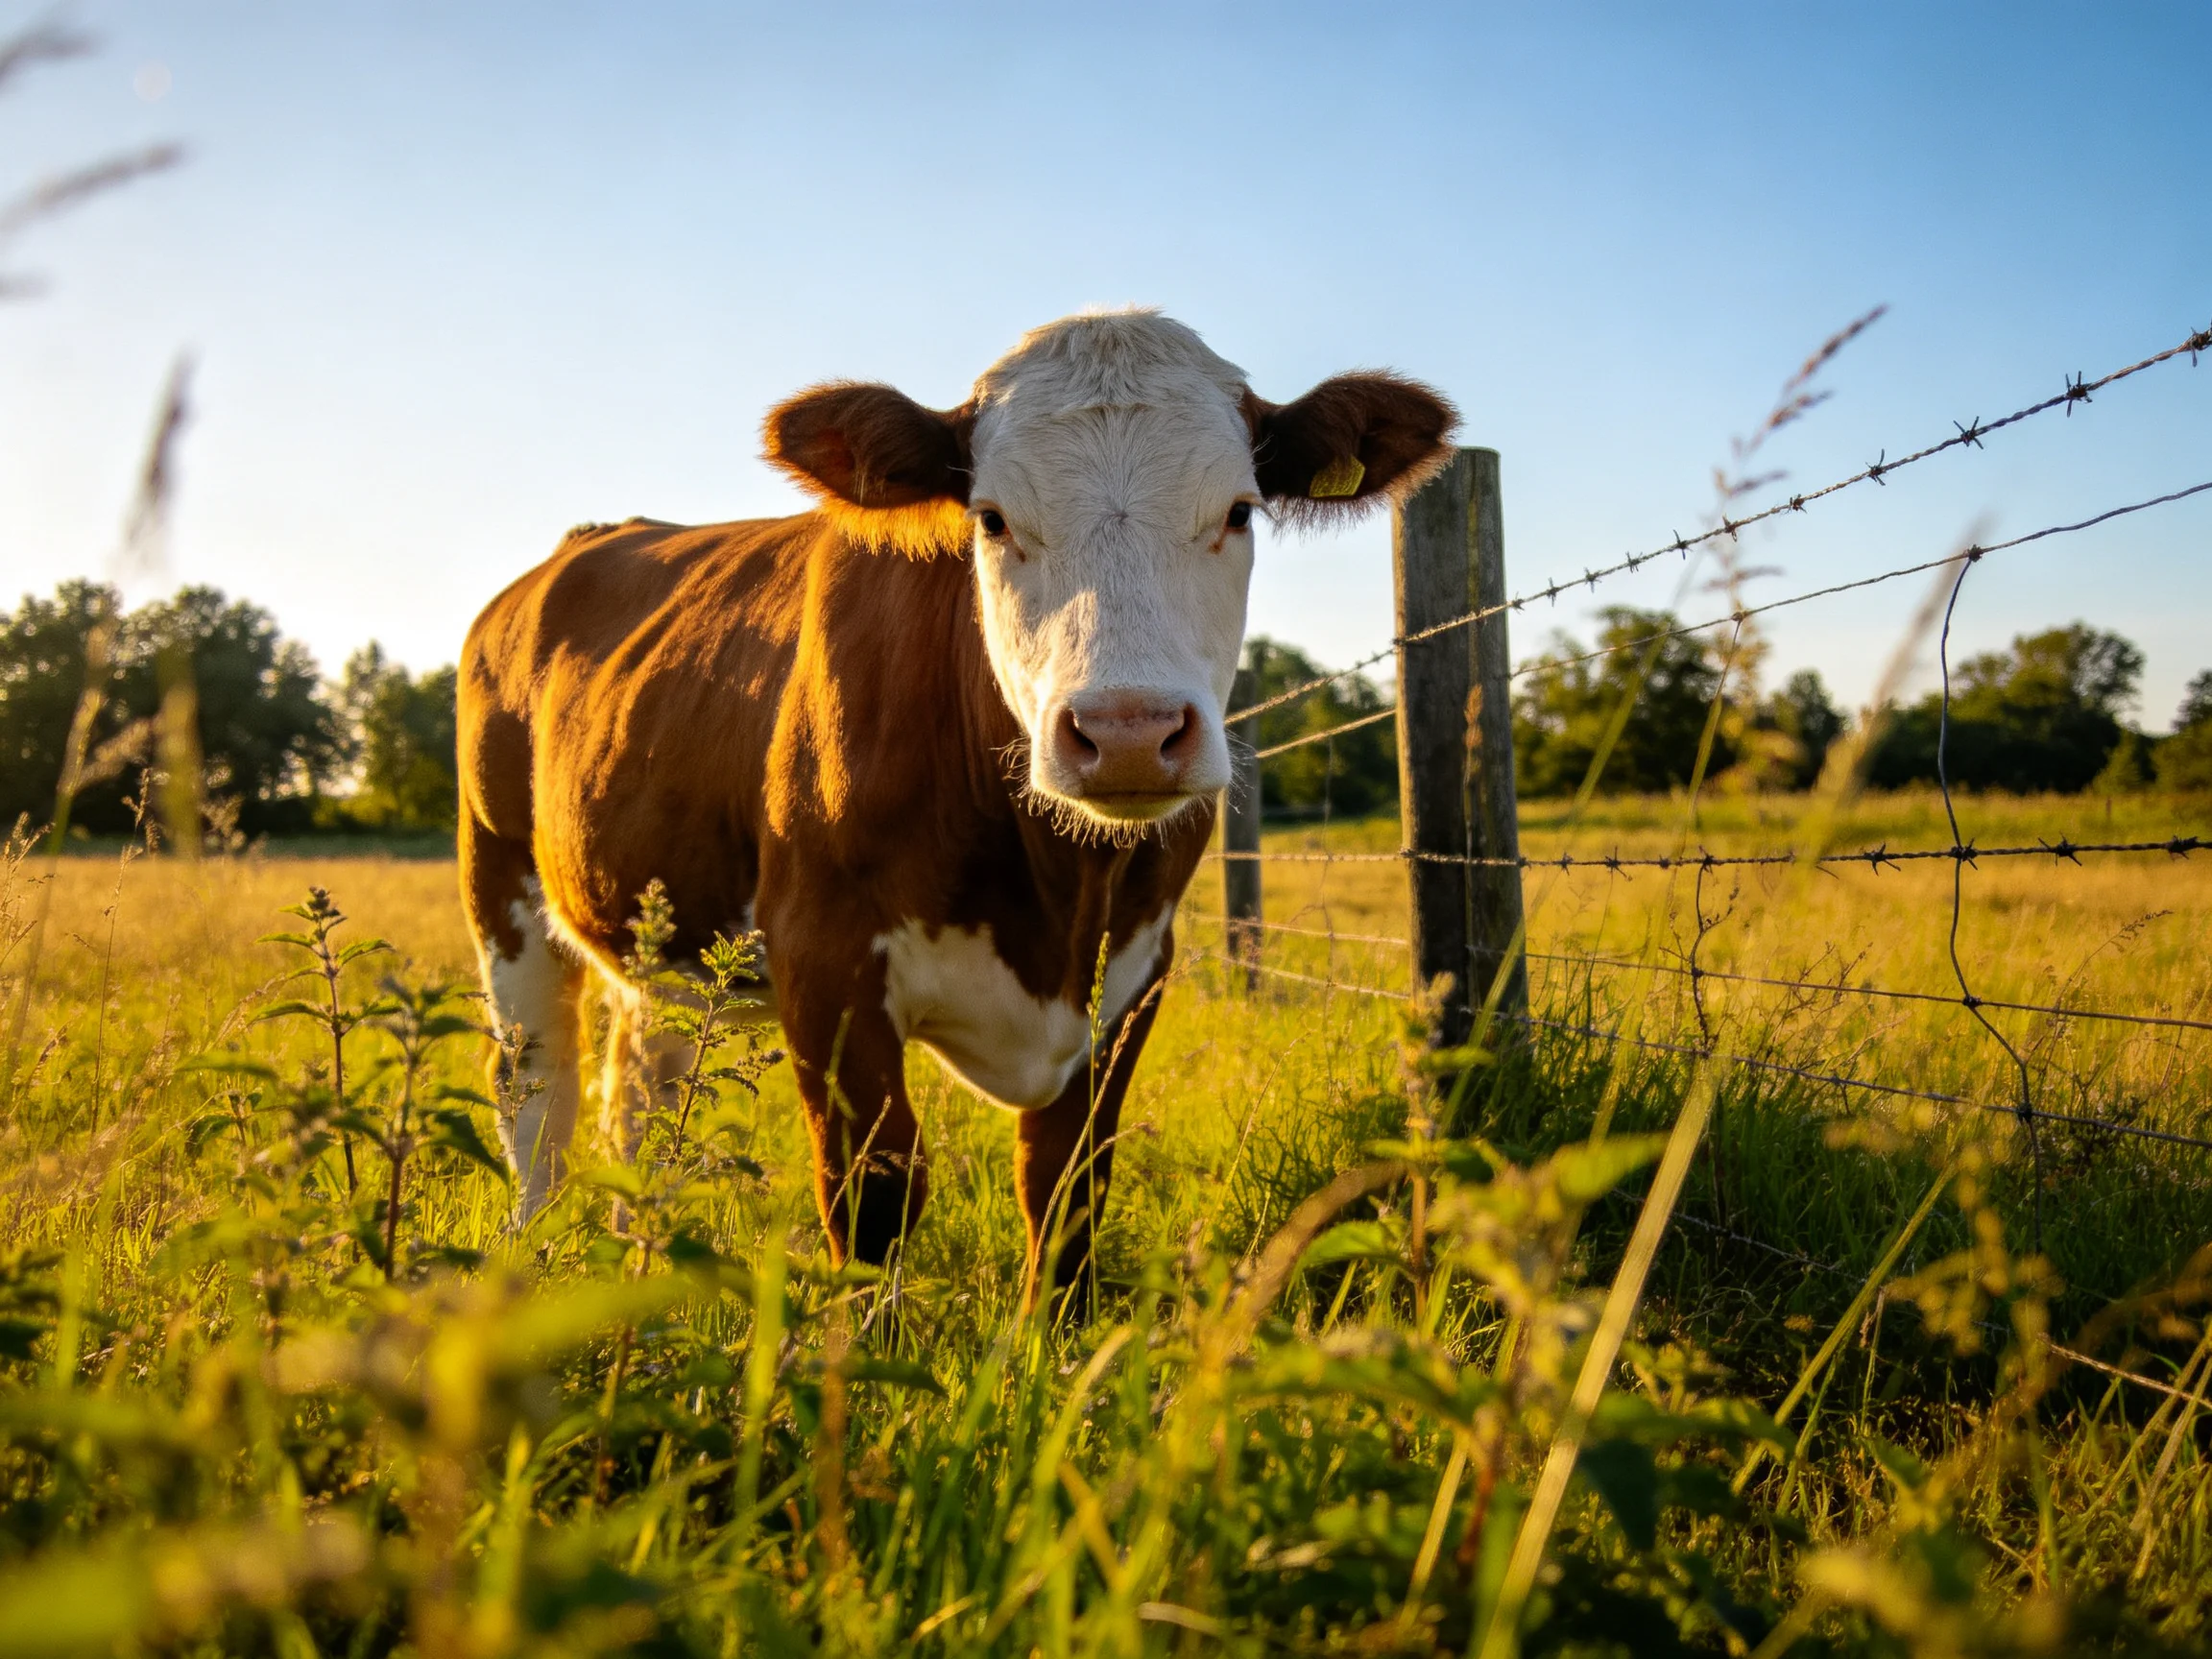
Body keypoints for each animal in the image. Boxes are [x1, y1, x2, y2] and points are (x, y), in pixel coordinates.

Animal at [457, 309, 1455, 1307]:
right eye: (993, 517)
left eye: (1241, 511)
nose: (1127, 731)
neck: (1058, 896)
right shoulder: (821, 957)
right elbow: (875, 1195)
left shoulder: (1136, 969)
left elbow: (1065, 1187)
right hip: (499, 884)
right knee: (536, 1093)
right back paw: (534, 1259)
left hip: (655, 935)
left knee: (640, 1097)